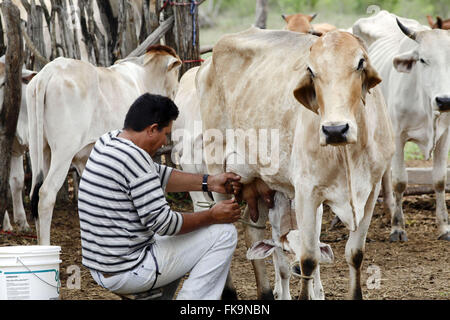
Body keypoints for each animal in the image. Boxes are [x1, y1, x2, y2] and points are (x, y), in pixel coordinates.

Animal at [25, 44, 181, 245]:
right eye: (176, 72)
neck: (144, 76)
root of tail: (49, 71)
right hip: (63, 151)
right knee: (45, 194)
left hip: (40, 149)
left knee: (34, 195)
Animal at [196, 26, 394, 298]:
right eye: (311, 70)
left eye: (360, 63)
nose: (335, 130)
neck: (346, 154)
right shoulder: (306, 193)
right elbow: (308, 260)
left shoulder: (371, 192)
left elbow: (355, 254)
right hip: (218, 170)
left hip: (261, 182)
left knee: (253, 230)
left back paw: (265, 292)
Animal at [356, 13, 450, 242]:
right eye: (423, 59)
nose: (444, 100)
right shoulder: (398, 136)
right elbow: (399, 181)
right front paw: (397, 228)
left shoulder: (445, 136)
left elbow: (440, 180)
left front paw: (444, 227)